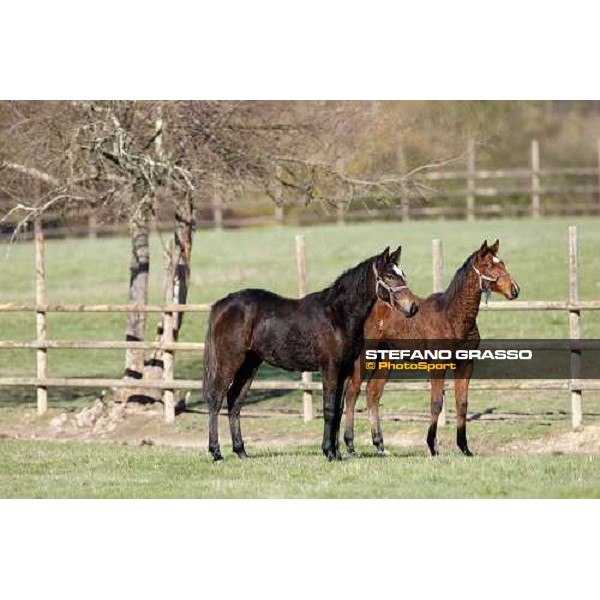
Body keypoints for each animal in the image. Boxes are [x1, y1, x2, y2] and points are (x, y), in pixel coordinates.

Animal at [205, 246, 418, 462]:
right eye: (389, 276)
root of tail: (220, 306)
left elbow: (338, 409)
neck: (338, 315)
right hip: (229, 361)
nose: (413, 307)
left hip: (250, 364)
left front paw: (336, 452)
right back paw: (216, 453)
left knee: (234, 400)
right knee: (216, 399)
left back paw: (241, 451)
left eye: (402, 274)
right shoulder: (329, 368)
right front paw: (329, 452)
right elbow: (329, 409)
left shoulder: (344, 370)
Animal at [342, 239, 520, 454]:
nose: (514, 289)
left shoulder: (466, 364)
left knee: (373, 392)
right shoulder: (438, 363)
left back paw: (380, 445)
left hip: (386, 357)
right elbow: (436, 403)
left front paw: (464, 448)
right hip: (364, 356)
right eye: (487, 265)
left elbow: (462, 403)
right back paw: (350, 444)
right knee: (352, 392)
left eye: (502, 263)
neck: (453, 316)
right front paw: (432, 447)